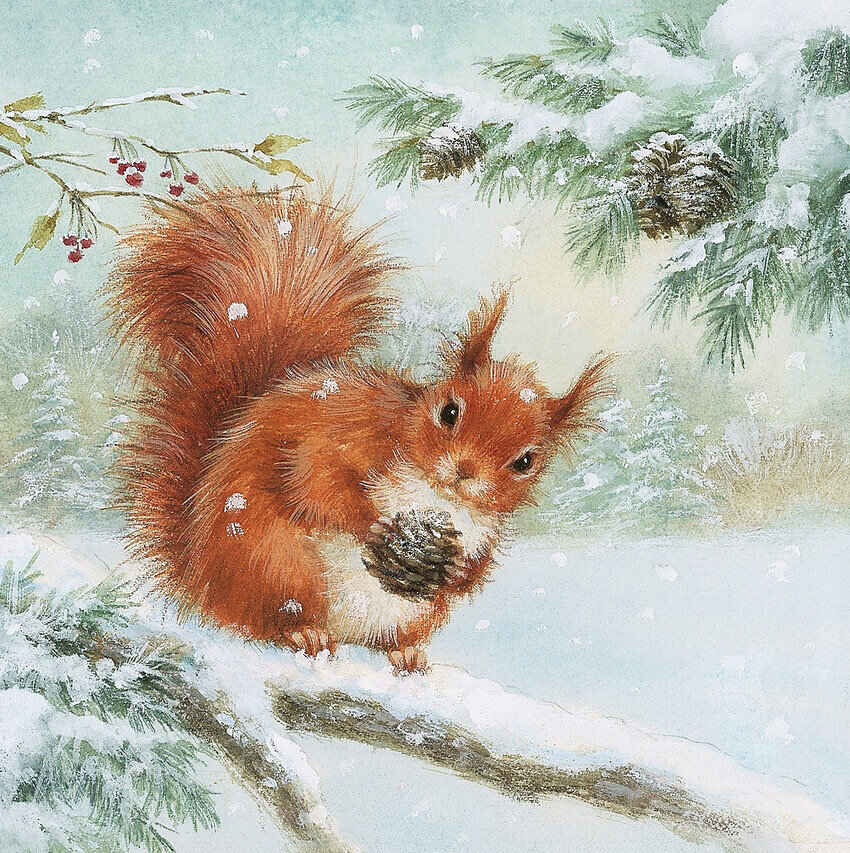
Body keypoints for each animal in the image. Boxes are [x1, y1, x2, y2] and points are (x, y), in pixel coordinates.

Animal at [109, 185, 612, 673]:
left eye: (526, 461)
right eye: (449, 412)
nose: (464, 471)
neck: (435, 496)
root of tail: (199, 575)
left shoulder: (484, 531)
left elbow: (475, 571)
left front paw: (454, 573)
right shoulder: (348, 432)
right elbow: (315, 478)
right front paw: (374, 526)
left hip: (414, 612)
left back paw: (405, 653)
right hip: (272, 560)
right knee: (262, 618)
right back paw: (303, 633)